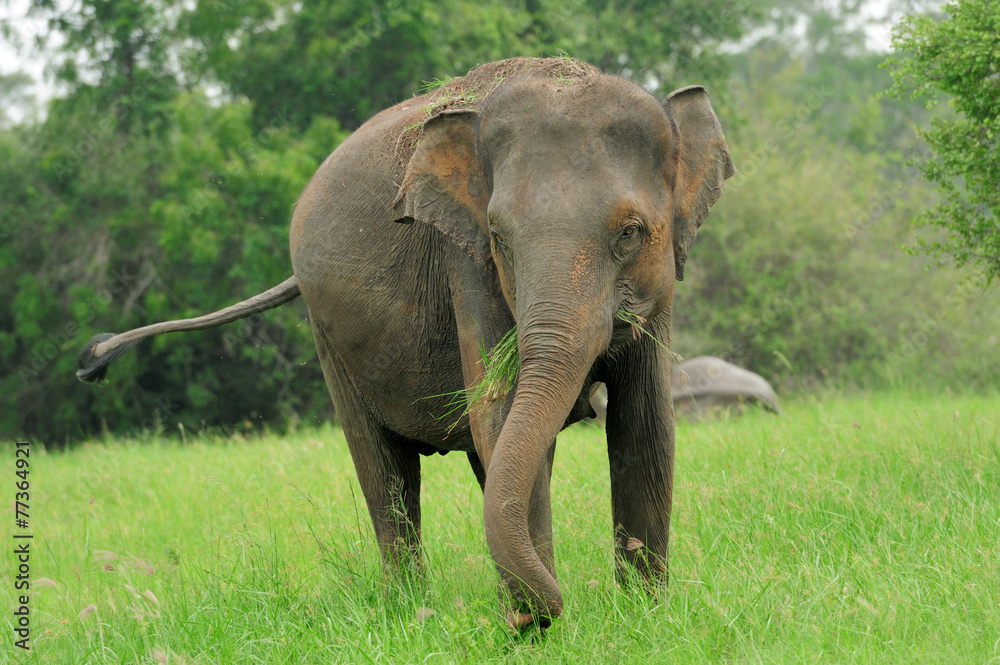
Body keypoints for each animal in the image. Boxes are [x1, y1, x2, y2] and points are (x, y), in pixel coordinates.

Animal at [76, 57, 735, 628]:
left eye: (631, 233)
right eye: (499, 237)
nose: (544, 612)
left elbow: (645, 426)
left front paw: (644, 618)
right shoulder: (464, 259)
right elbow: (501, 412)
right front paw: (538, 626)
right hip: (328, 335)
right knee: (385, 470)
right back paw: (411, 611)